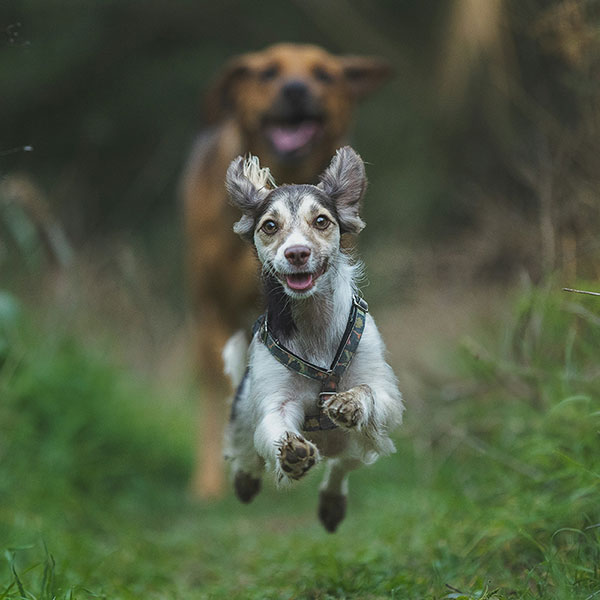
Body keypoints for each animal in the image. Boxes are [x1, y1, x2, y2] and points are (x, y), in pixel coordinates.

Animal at [220, 148, 404, 532]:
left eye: (321, 221)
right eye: (269, 226)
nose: (297, 253)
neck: (314, 324)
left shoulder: (386, 394)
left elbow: (369, 392)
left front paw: (349, 402)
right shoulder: (274, 401)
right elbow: (275, 427)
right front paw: (292, 454)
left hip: (359, 444)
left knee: (343, 464)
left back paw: (333, 501)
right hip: (243, 410)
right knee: (246, 451)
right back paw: (246, 479)